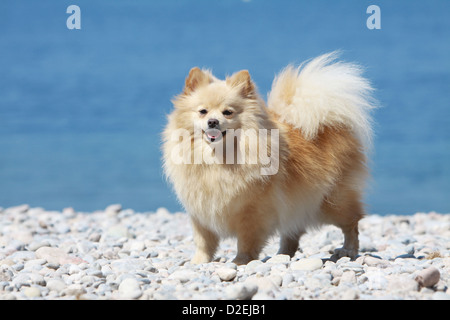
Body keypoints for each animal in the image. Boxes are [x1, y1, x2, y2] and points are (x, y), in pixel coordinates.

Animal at [162, 52, 376, 264]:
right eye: (203, 111)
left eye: (228, 112)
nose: (213, 121)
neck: (218, 158)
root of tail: (331, 123)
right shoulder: (200, 212)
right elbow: (203, 241)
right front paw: (199, 262)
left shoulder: (252, 212)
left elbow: (246, 241)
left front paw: (240, 261)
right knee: (293, 232)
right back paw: (283, 255)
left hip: (332, 203)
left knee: (352, 223)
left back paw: (348, 250)